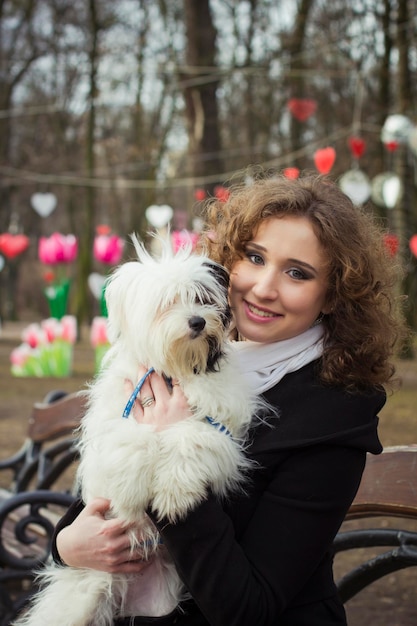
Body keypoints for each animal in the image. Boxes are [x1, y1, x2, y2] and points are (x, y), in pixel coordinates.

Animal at [17, 238, 264, 624]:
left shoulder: (222, 424)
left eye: (202, 298)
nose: (197, 321)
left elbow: (190, 437)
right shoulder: (115, 416)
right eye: (167, 303)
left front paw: (175, 495)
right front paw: (130, 491)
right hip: (84, 593)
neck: (175, 369)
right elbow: (135, 437)